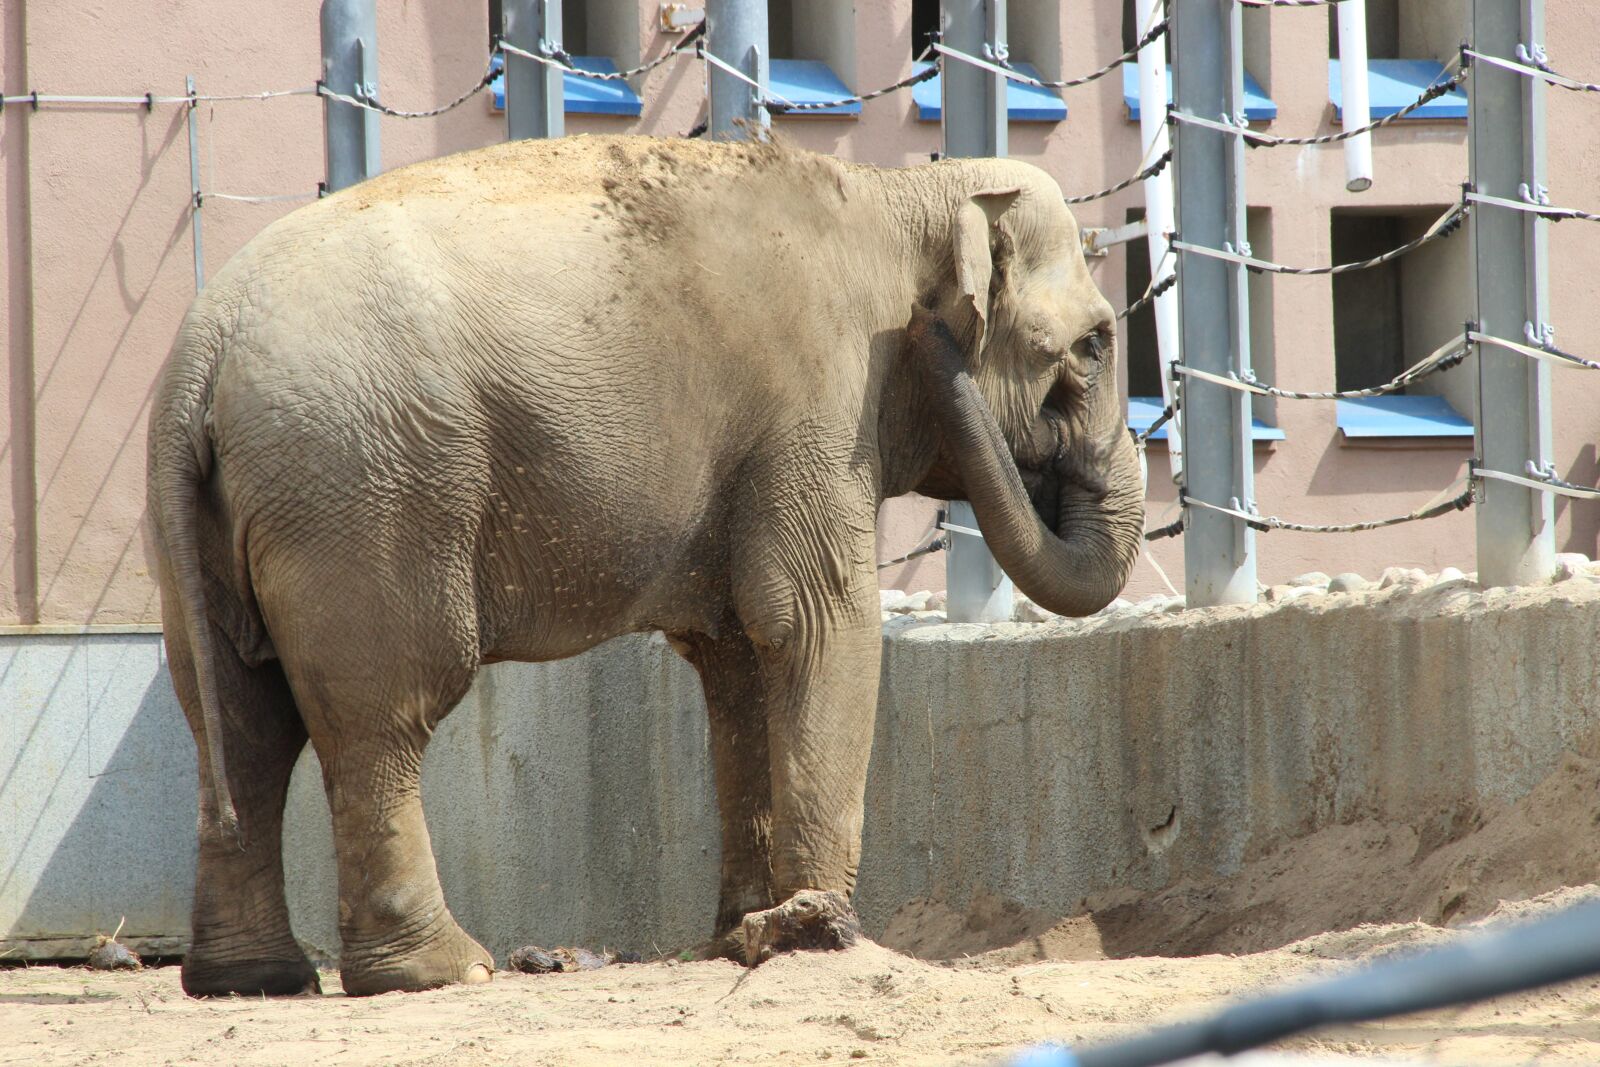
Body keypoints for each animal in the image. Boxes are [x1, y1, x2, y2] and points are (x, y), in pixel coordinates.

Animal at [145, 134, 1144, 998]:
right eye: (1095, 344)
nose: (937, 344)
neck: (898, 192)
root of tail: (203, 350)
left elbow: (738, 659)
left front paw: (746, 931)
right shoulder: (816, 405)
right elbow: (819, 626)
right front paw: (822, 933)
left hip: (218, 520)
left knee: (241, 722)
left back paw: (251, 978)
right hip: (366, 494)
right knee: (382, 715)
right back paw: (442, 969)